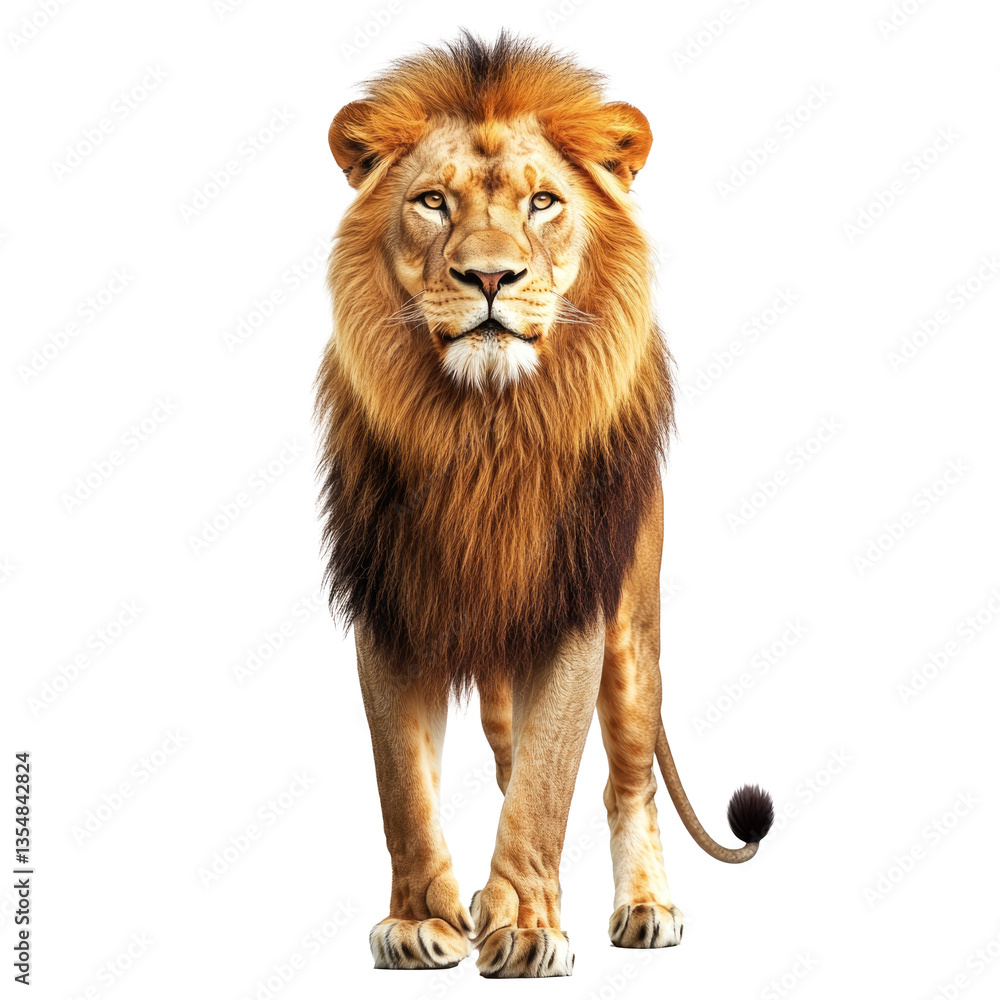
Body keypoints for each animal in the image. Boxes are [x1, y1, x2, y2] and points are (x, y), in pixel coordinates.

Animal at [316, 32, 773, 978]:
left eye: (542, 201)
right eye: (432, 201)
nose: (489, 276)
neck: (482, 430)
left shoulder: (574, 610)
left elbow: (548, 784)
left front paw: (527, 930)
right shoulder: (388, 603)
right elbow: (404, 785)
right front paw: (422, 920)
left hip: (634, 635)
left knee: (624, 777)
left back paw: (644, 909)